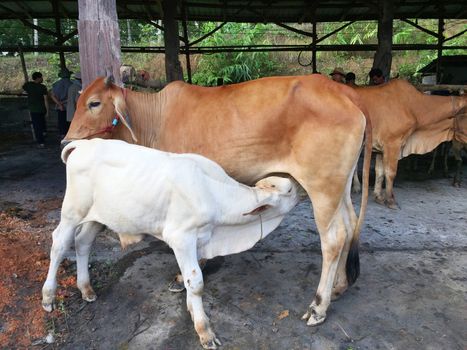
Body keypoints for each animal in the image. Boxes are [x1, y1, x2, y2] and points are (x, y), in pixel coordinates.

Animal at [43, 138, 300, 348]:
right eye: (288, 190)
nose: (298, 187)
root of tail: (83, 144)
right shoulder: (181, 237)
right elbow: (196, 282)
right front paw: (204, 331)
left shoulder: (198, 240)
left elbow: (188, 278)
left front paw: (192, 312)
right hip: (72, 211)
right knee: (59, 244)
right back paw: (48, 297)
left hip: (99, 216)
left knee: (83, 242)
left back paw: (86, 289)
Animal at [59, 74, 372, 334]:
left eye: (94, 103)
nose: (66, 141)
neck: (154, 118)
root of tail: (345, 92)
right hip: (340, 187)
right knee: (349, 226)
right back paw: (339, 287)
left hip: (322, 187)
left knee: (333, 239)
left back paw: (318, 306)